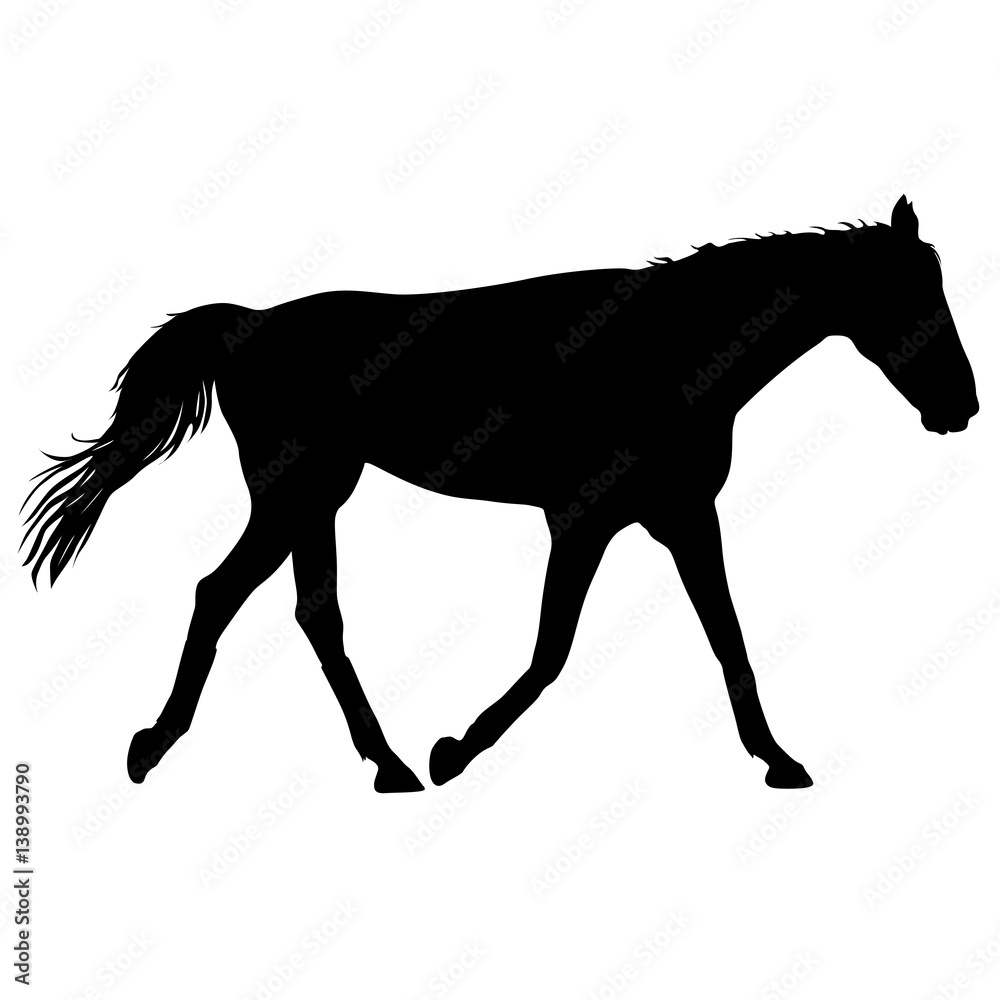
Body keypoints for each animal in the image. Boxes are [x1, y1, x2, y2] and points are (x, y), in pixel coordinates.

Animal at [21, 195, 979, 792]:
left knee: (305, 613)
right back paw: (162, 747)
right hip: (299, 491)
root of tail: (246, 324)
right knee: (225, 594)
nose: (962, 406)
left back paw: (385, 765)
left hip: (315, 498)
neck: (668, 350)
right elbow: (554, 650)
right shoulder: (586, 516)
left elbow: (727, 638)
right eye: (908, 296)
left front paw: (778, 759)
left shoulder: (679, 517)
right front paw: (458, 749)